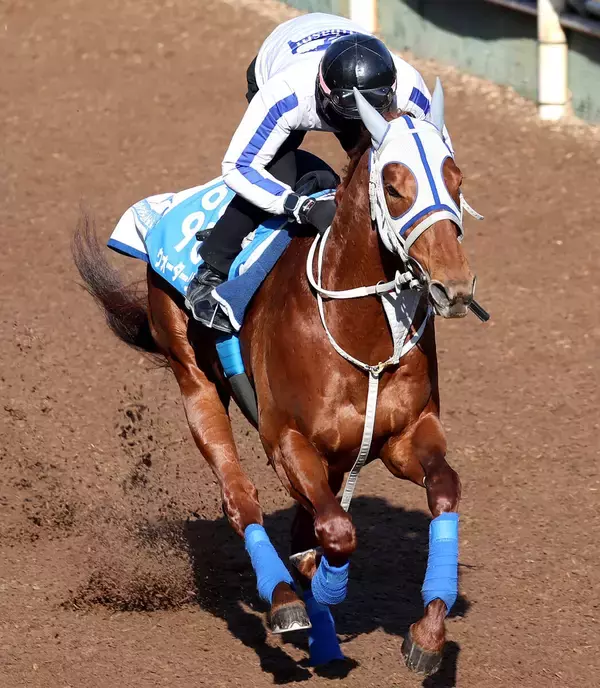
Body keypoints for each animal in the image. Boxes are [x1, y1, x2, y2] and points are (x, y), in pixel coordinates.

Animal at [73, 83, 483, 677]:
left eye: (457, 179)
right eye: (394, 187)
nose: (454, 286)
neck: (359, 332)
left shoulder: (403, 436)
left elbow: (443, 491)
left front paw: (427, 634)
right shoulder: (286, 440)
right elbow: (337, 532)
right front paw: (323, 590)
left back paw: (323, 633)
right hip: (195, 383)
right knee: (240, 499)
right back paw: (289, 602)